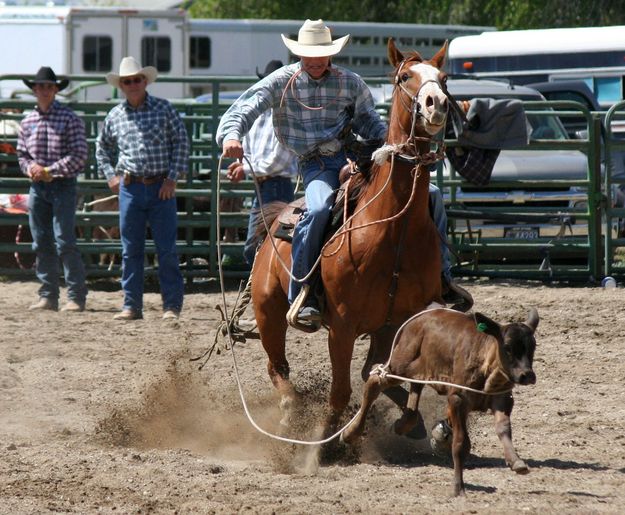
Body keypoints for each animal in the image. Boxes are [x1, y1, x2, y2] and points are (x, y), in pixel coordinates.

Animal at [249, 39, 448, 436]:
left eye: (443, 77)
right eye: (405, 77)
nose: (437, 103)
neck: (395, 231)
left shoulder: (397, 323)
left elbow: (385, 377)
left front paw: (407, 423)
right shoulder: (341, 326)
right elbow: (341, 391)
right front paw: (328, 438)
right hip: (268, 311)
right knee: (277, 367)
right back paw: (291, 410)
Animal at [342, 308, 536, 498]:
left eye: (533, 346)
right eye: (507, 347)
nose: (527, 375)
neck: (486, 366)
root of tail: (418, 318)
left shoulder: (503, 400)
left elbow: (503, 429)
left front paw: (516, 461)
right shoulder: (457, 399)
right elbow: (460, 443)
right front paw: (458, 487)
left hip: (420, 370)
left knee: (414, 396)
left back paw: (402, 425)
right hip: (401, 364)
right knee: (375, 381)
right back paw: (351, 433)